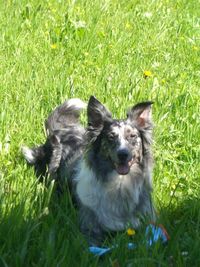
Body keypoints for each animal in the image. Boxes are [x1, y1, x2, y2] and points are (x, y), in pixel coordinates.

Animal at [22, 97, 155, 247]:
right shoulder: (90, 228)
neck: (119, 183)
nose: (123, 154)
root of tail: (60, 129)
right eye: (110, 137)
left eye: (132, 136)